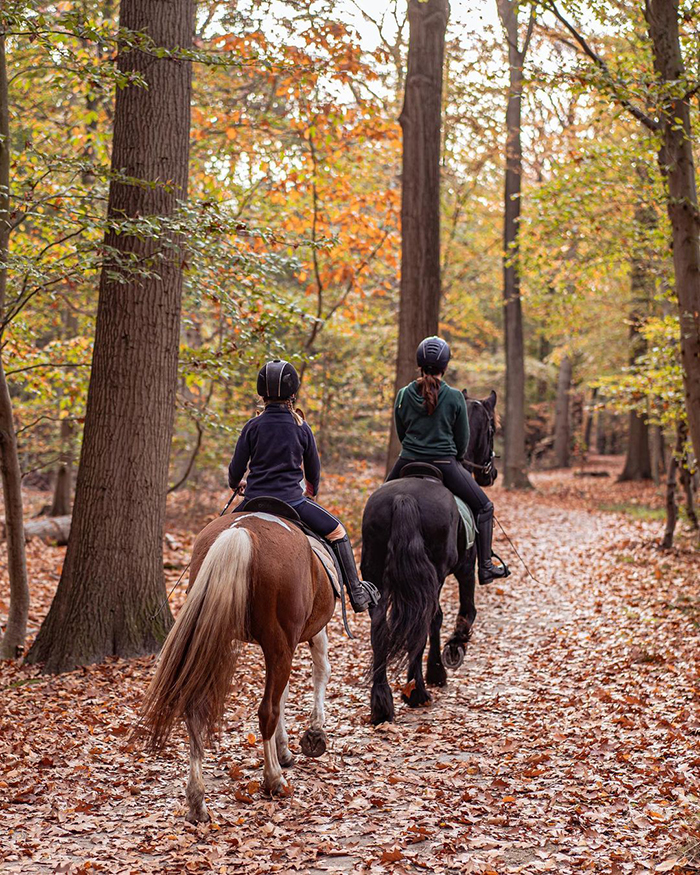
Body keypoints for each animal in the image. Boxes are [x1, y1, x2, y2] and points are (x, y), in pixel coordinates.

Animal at [140, 510, 336, 824]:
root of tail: (241, 530)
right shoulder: (307, 633)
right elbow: (320, 671)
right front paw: (314, 734)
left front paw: (285, 749)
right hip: (277, 642)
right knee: (268, 709)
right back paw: (273, 780)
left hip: (213, 633)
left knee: (196, 710)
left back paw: (197, 801)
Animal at [360, 390, 498, 724]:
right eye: (492, 429)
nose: (490, 474)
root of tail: (403, 497)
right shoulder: (464, 569)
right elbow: (460, 613)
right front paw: (449, 656)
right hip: (433, 576)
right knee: (422, 622)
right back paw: (417, 693)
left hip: (375, 575)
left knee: (380, 629)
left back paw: (381, 704)